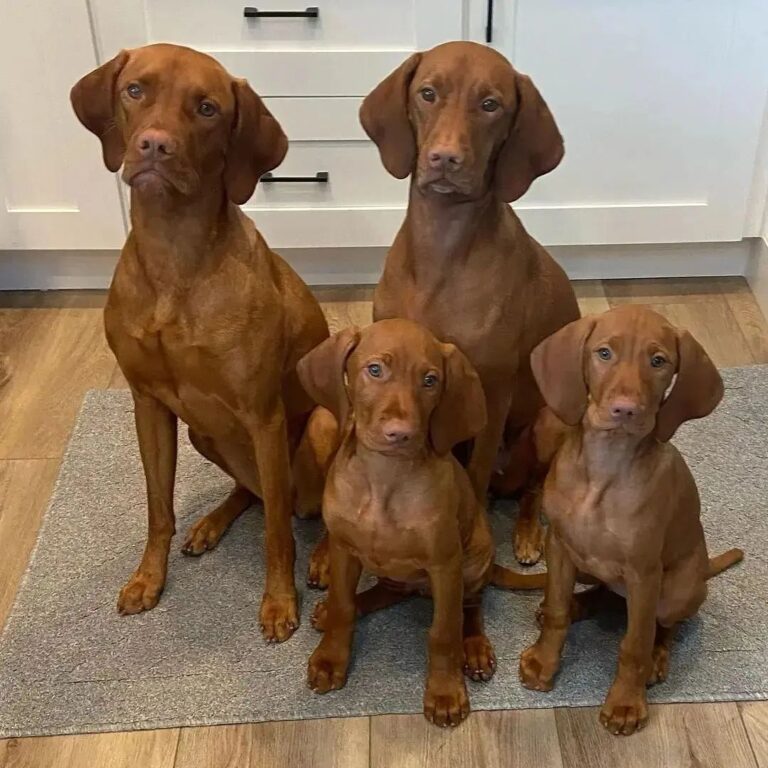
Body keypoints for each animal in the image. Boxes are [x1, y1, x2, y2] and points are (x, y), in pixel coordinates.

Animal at [68, 43, 328, 640]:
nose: (154, 145)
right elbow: (158, 508)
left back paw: (324, 554)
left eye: (207, 108)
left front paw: (279, 601)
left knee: (298, 509)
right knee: (254, 492)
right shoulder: (148, 405)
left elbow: (276, 530)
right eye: (135, 90)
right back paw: (211, 524)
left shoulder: (264, 415)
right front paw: (148, 578)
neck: (175, 255)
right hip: (202, 434)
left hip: (317, 427)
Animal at [296, 318, 544, 728]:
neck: (384, 479)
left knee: (470, 606)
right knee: (386, 592)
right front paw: (331, 657)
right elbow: (343, 606)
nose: (400, 433)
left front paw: (445, 693)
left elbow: (443, 631)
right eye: (375, 370)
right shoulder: (344, 550)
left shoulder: (444, 564)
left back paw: (474, 647)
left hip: (473, 557)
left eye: (430, 380)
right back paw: (336, 608)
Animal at [364, 43, 580, 568]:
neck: (441, 249)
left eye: (490, 105)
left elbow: (478, 471)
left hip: (549, 424)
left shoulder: (493, 390)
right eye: (427, 93)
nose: (445, 157)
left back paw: (527, 533)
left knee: (534, 489)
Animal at [516, 304, 744, 732]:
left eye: (659, 361)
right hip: (591, 569)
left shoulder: (643, 572)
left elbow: (635, 642)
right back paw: (580, 606)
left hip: (677, 589)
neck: (604, 470)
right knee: (601, 596)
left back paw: (657, 659)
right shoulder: (560, 547)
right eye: (604, 353)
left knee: (665, 626)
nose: (625, 410)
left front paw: (625, 702)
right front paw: (544, 662)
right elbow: (556, 610)